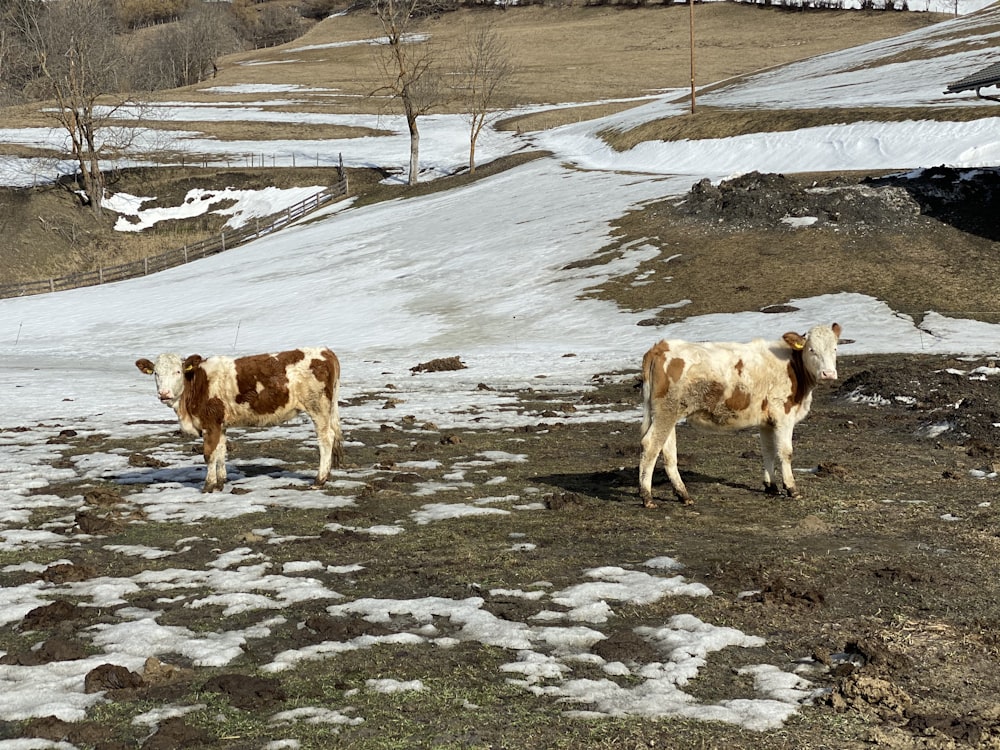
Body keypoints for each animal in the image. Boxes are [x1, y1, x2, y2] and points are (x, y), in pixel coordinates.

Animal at [136, 350, 344, 496]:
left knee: (326, 439)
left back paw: (319, 480)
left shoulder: (210, 423)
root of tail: (325, 351)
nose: (164, 393)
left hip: (318, 408)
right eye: (156, 373)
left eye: (177, 371)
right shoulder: (220, 424)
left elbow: (209, 455)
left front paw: (208, 486)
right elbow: (221, 452)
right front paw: (220, 482)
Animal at [636, 324, 840, 512]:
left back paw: (683, 495)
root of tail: (661, 346)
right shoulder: (783, 414)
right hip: (667, 411)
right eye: (811, 349)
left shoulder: (766, 420)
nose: (828, 374)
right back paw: (647, 497)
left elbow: (768, 450)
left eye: (835, 348)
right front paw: (792, 488)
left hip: (667, 412)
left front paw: (771, 486)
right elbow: (785, 452)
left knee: (668, 452)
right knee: (651, 445)